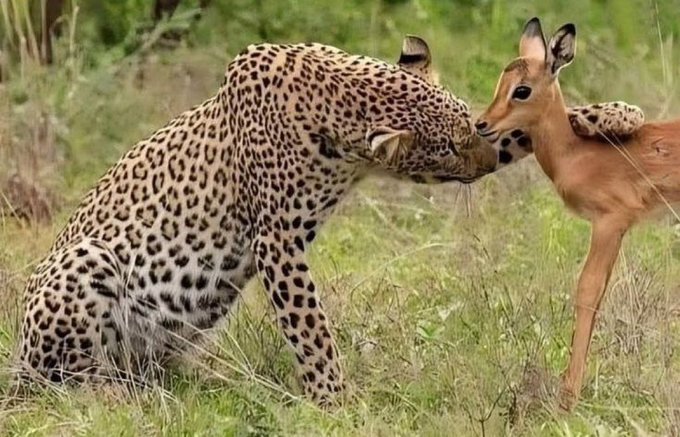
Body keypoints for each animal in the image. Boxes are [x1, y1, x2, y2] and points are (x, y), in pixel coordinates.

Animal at [476, 17, 680, 410]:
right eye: (501, 81)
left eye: (521, 90)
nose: (482, 123)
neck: (575, 154)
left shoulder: (609, 222)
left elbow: (587, 291)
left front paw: (567, 397)